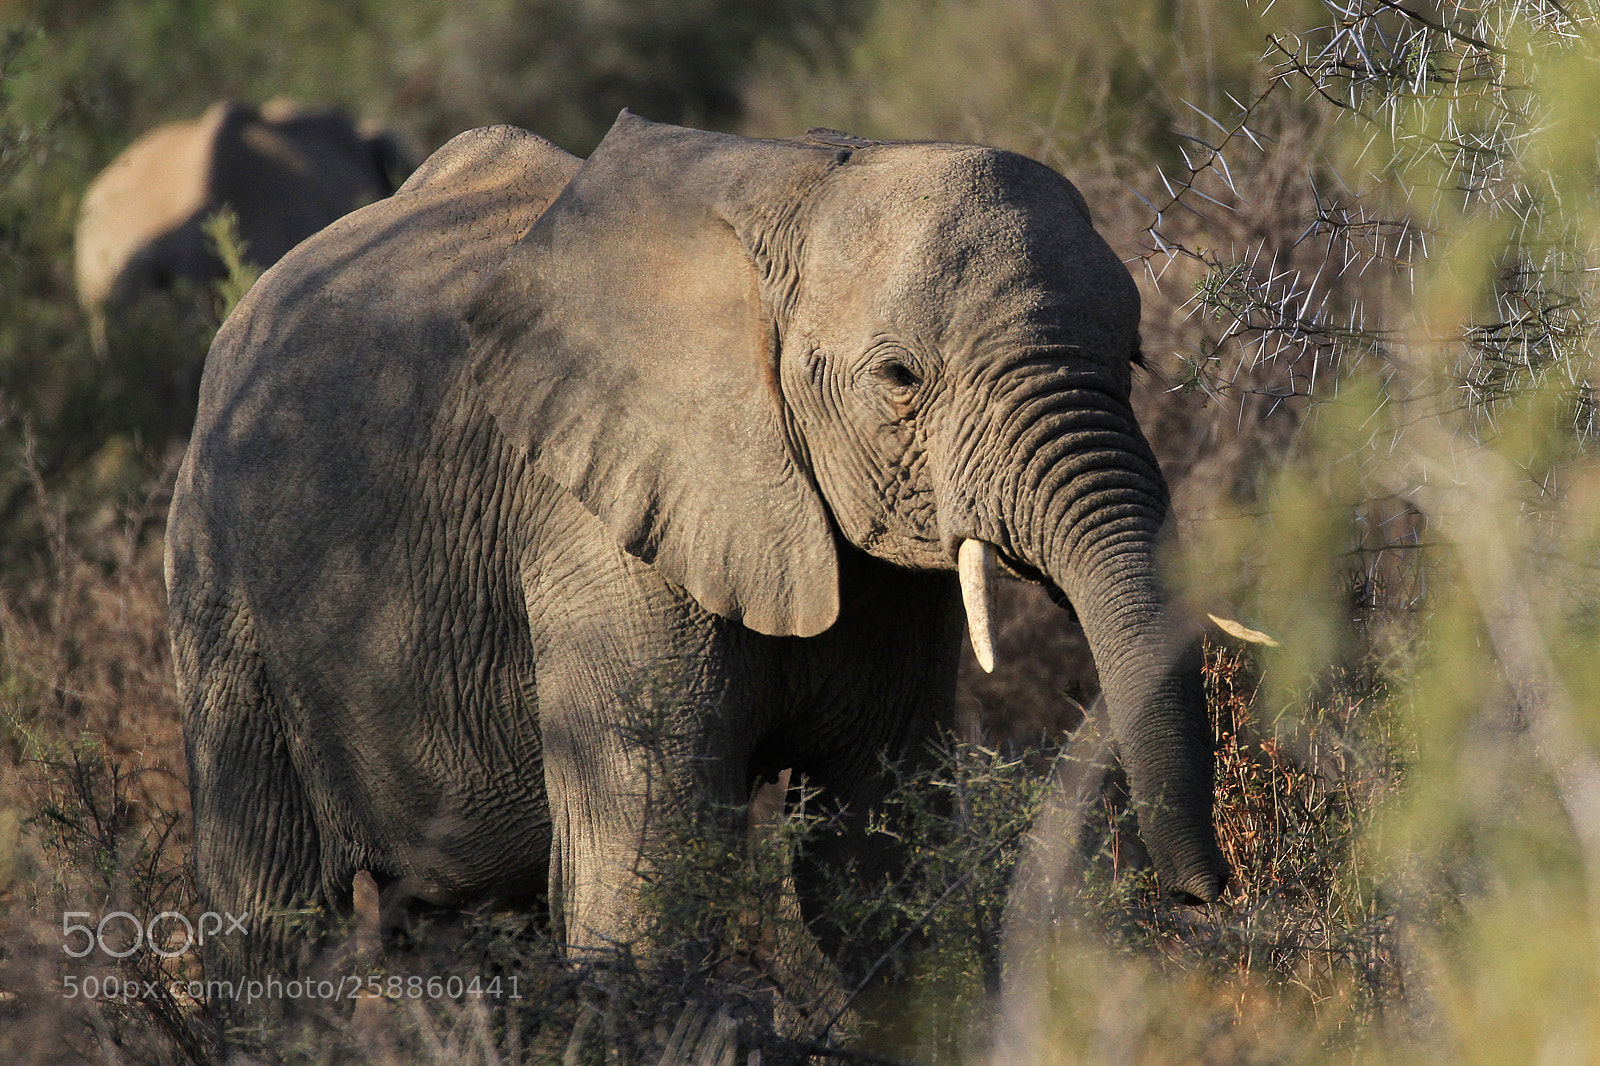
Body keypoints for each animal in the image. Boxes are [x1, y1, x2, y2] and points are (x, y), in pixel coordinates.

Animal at [165, 112, 1229, 988]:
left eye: (1135, 356)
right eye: (898, 378)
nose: (1199, 898)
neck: (796, 187)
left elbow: (872, 869)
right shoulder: (600, 530)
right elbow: (653, 888)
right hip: (217, 585)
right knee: (271, 912)